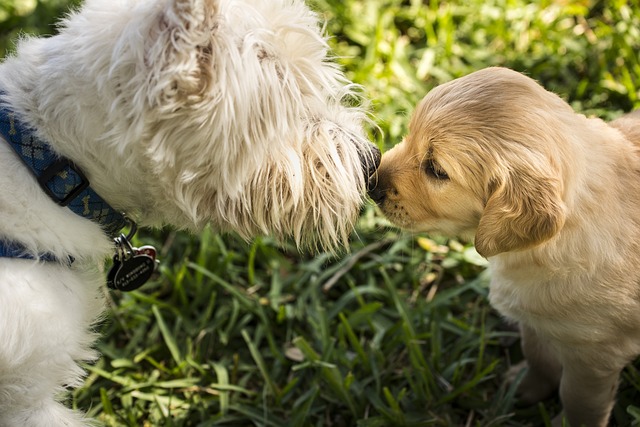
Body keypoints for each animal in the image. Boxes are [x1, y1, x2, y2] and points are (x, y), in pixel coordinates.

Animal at [370, 65, 640, 426]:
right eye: (410, 134)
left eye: (436, 170)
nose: (370, 183)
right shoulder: (534, 320)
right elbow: (537, 355)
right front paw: (524, 388)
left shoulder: (594, 354)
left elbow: (579, 400)